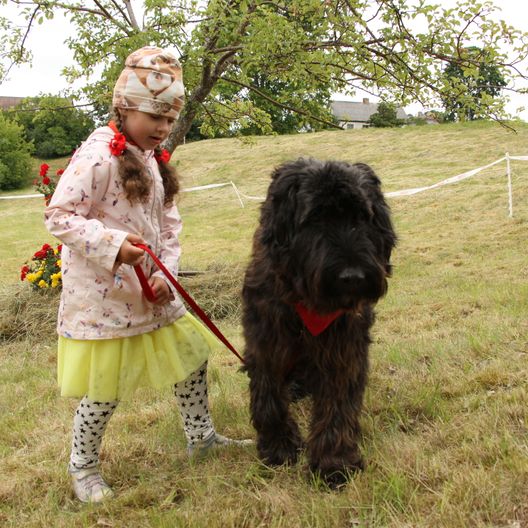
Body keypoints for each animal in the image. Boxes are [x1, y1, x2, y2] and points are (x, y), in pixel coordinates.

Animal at [241, 159, 394, 488]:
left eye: (362, 216)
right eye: (315, 219)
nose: (353, 277)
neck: (307, 300)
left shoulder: (344, 347)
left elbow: (338, 404)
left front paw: (334, 462)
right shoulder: (265, 341)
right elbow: (268, 399)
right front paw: (279, 448)